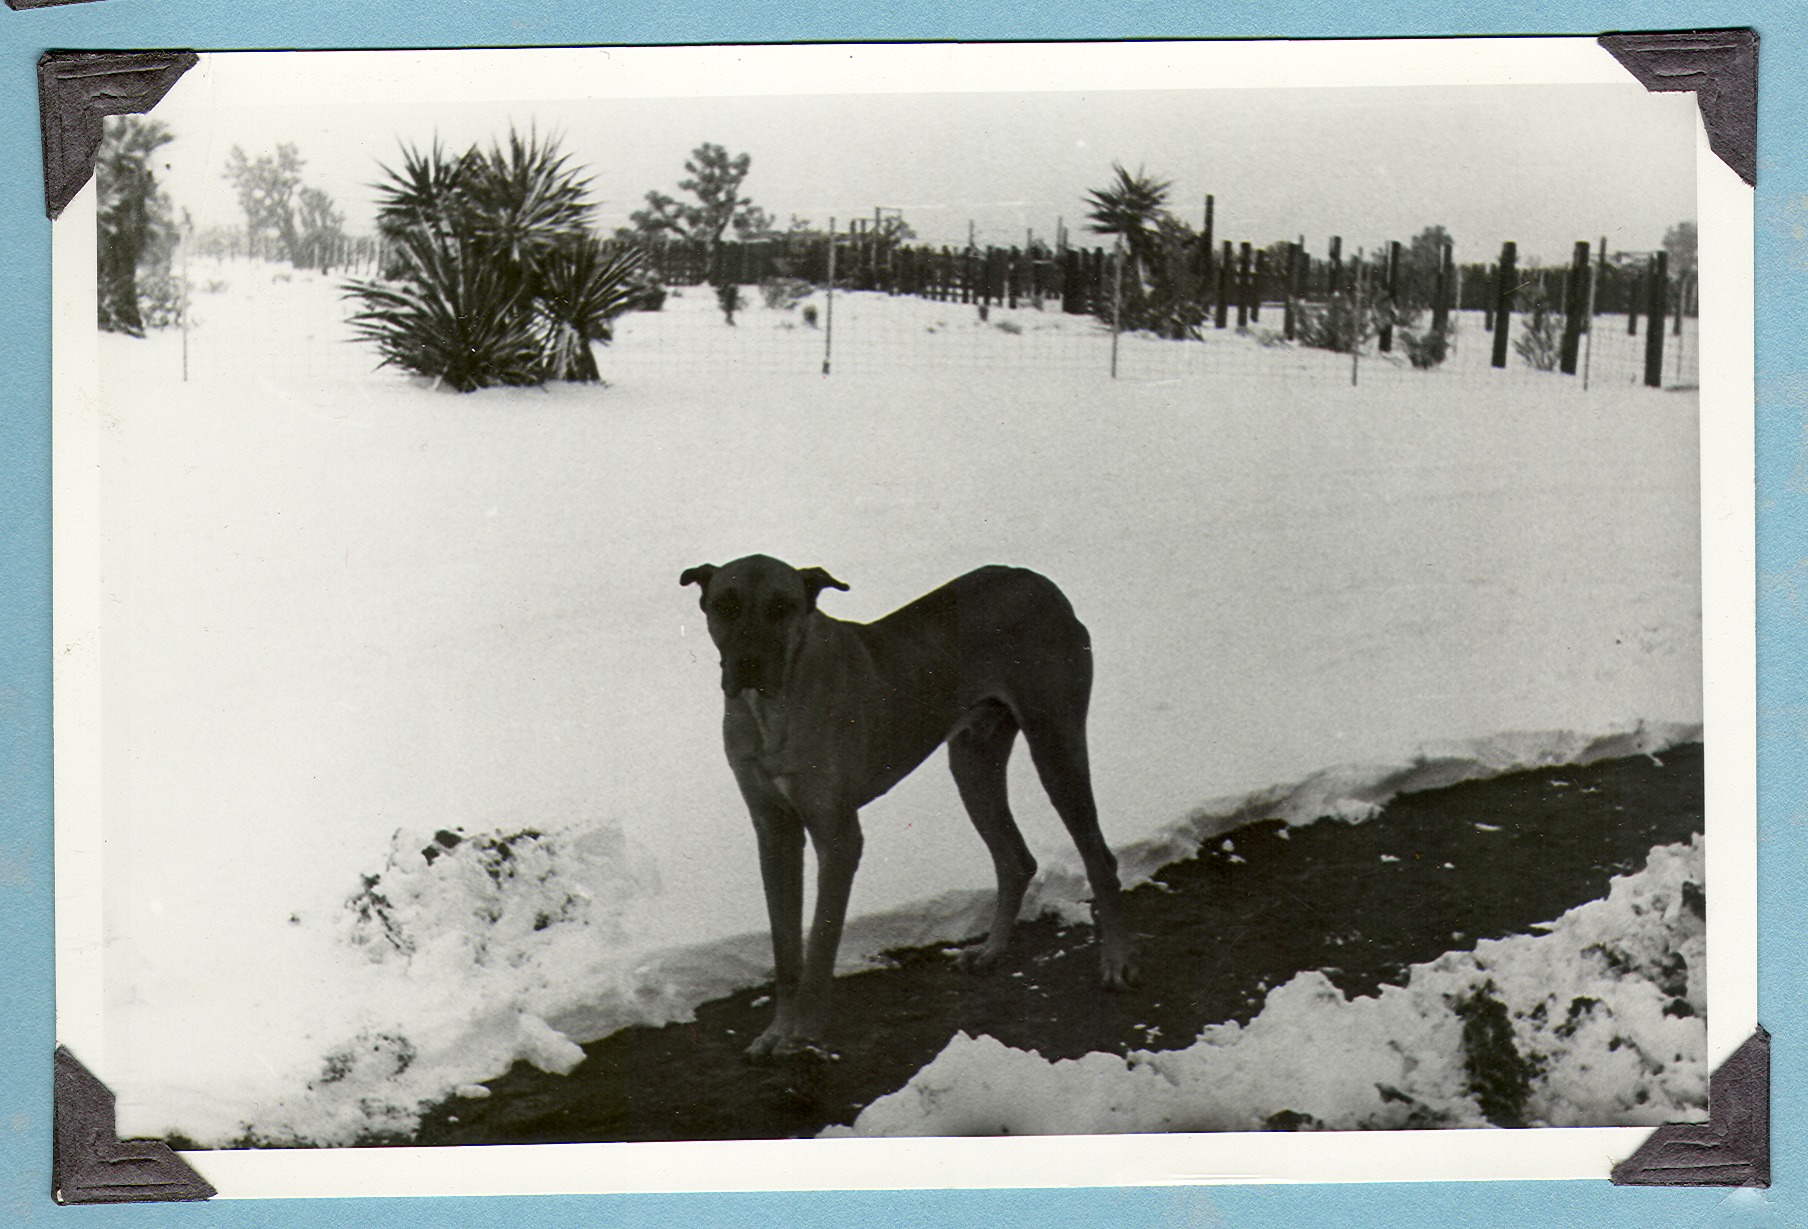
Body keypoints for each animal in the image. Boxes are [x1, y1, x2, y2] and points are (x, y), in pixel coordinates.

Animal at [679, 553, 1128, 1055]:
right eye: (725, 604)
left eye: (782, 606)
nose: (750, 662)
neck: (771, 710)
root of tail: (1040, 583)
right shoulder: (774, 833)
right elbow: (786, 952)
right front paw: (777, 1031)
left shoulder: (839, 838)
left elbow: (820, 946)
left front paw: (804, 1036)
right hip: (973, 762)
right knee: (1016, 860)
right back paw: (991, 951)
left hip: (1055, 744)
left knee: (1100, 859)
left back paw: (1115, 964)